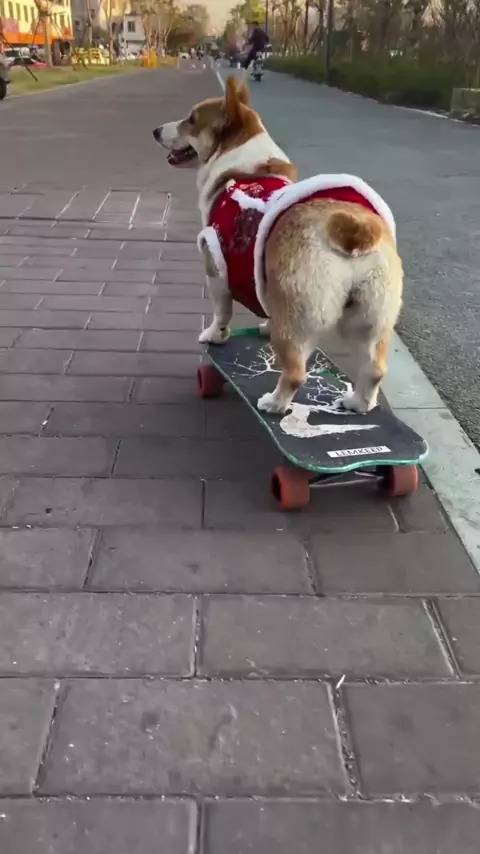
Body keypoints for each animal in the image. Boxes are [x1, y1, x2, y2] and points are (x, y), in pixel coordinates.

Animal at [153, 76, 403, 415]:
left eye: (191, 120)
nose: (155, 131)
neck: (242, 162)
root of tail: (351, 227)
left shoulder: (216, 264)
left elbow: (221, 312)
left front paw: (214, 336)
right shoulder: (258, 273)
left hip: (295, 317)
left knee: (296, 372)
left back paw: (274, 404)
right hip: (369, 320)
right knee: (374, 369)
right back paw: (357, 403)